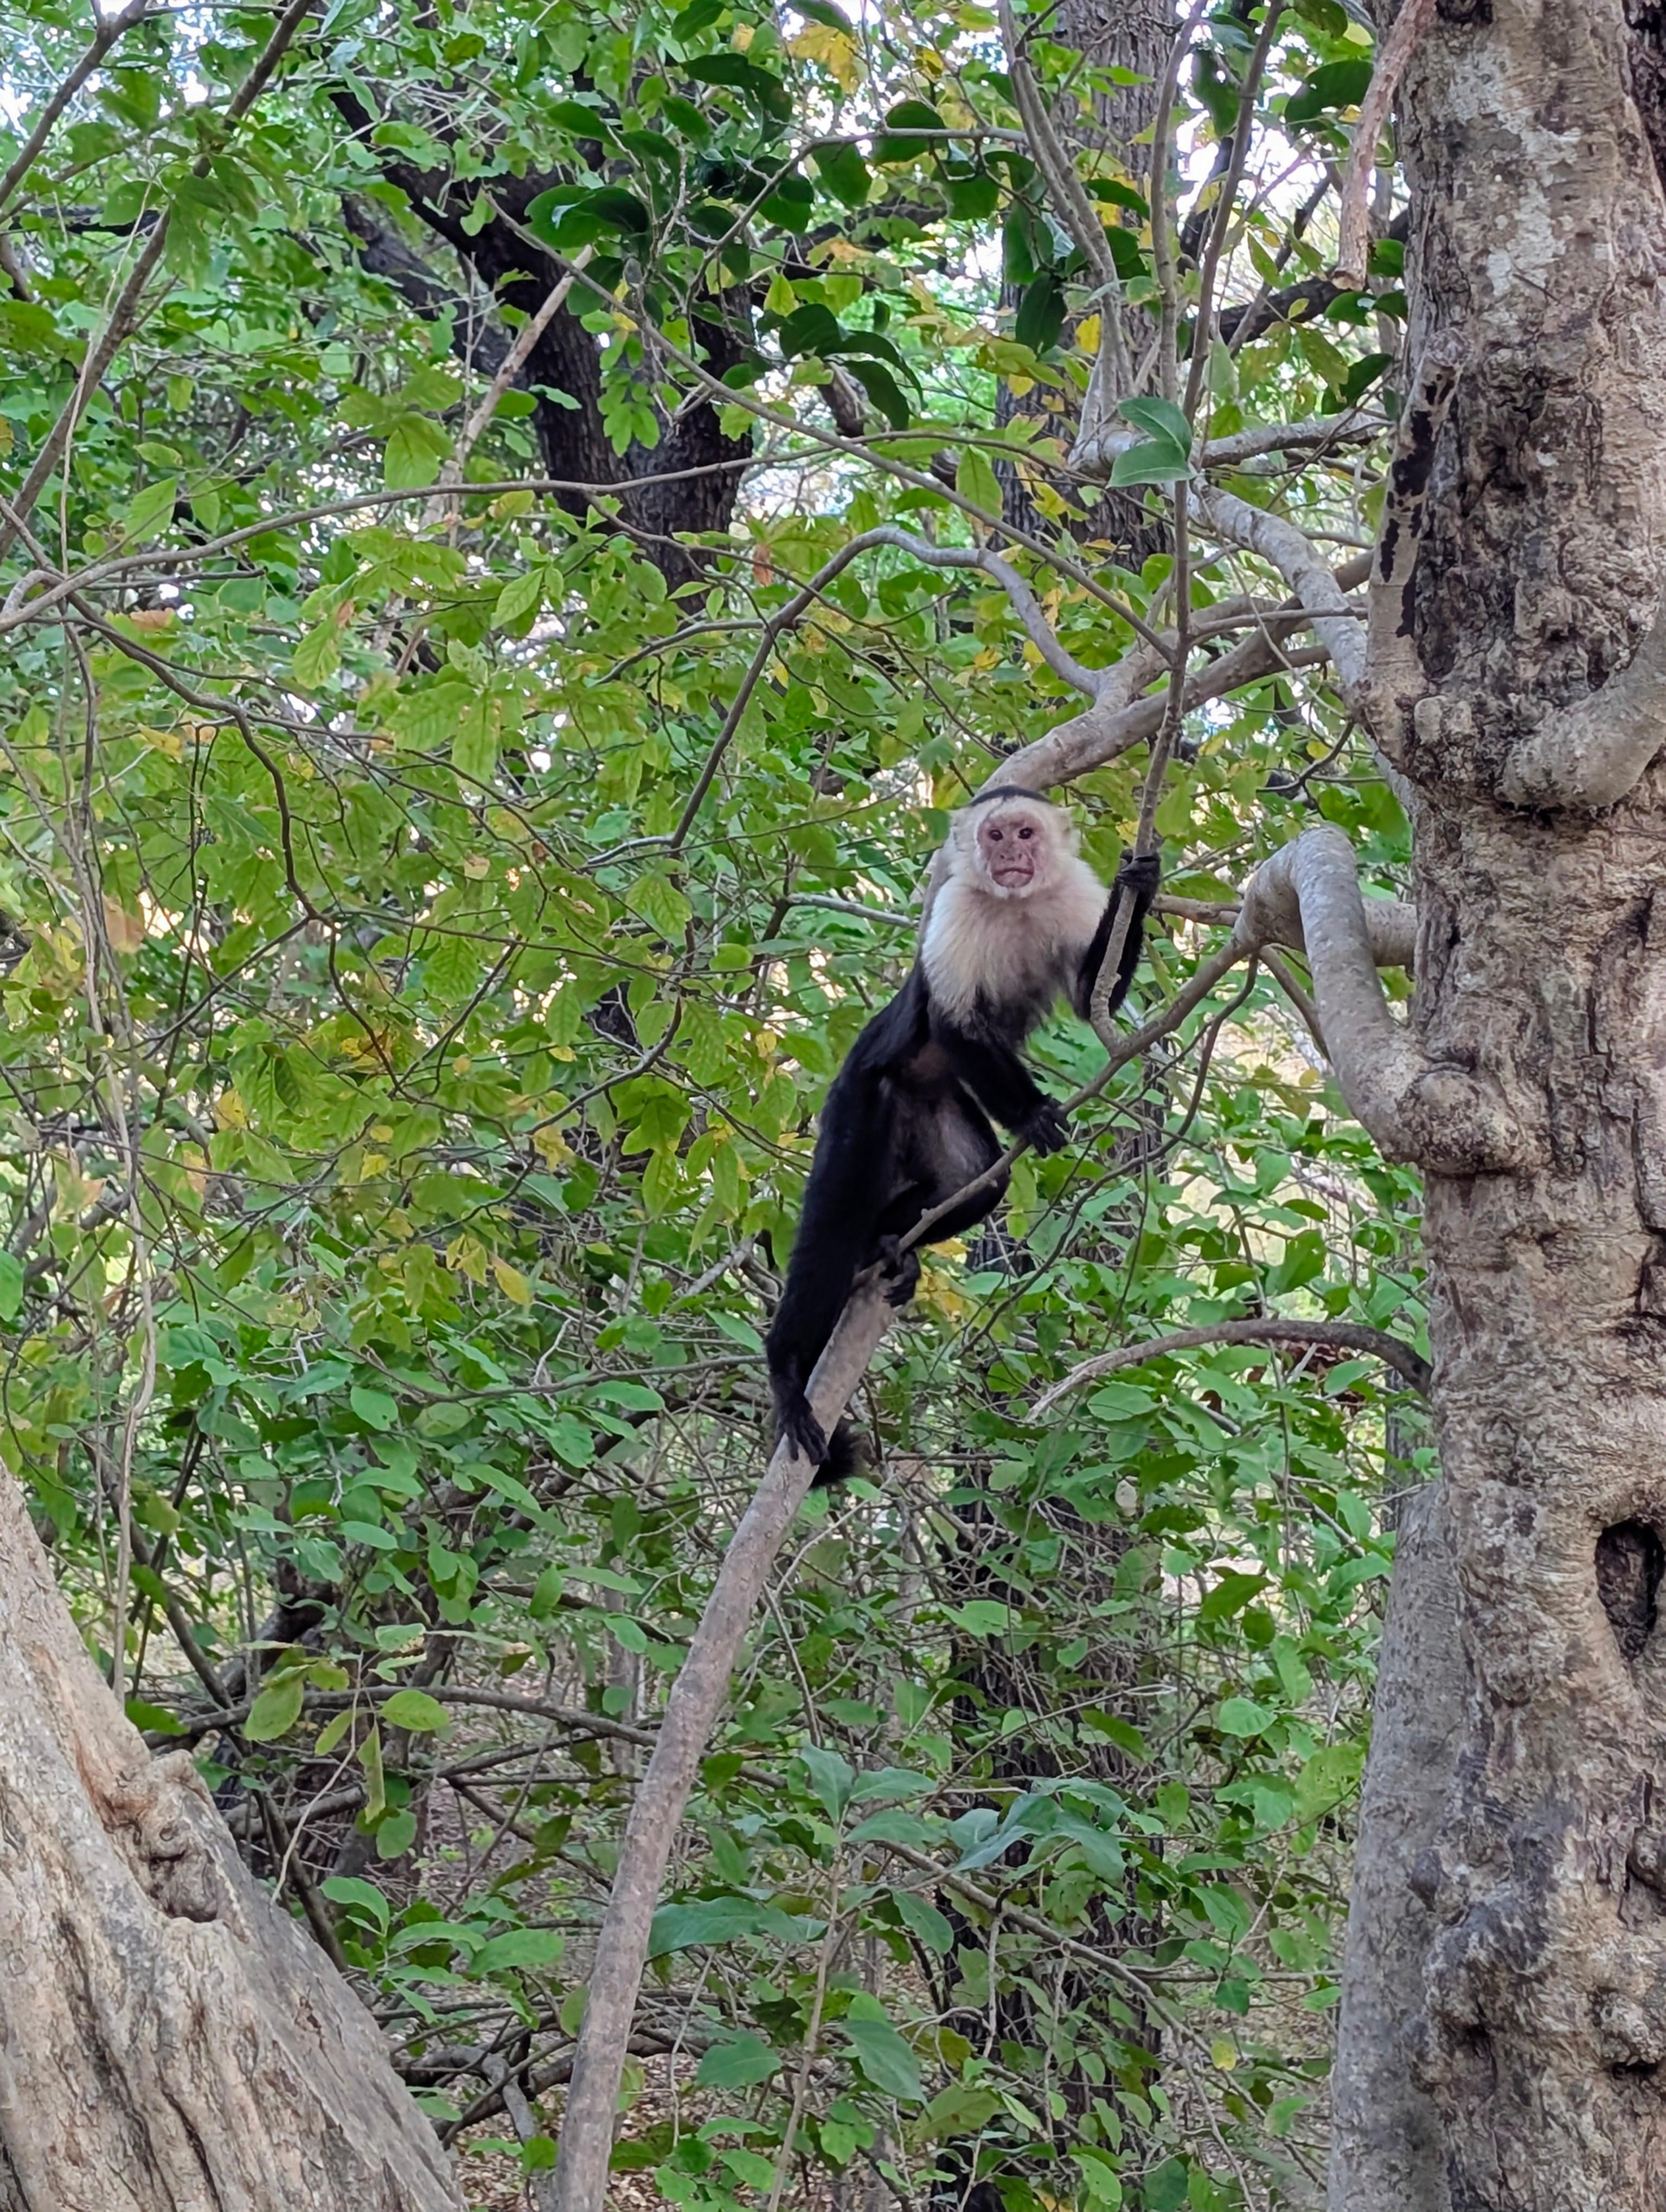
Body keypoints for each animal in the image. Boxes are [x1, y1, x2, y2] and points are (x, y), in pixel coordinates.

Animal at [765, 788, 1160, 1479]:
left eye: (1025, 833)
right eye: (994, 835)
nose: (1009, 856)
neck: (1015, 903)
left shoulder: (1070, 894)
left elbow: (1094, 999)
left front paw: (1140, 883)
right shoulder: (956, 906)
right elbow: (957, 1022)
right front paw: (1032, 1114)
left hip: (939, 1107)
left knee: (977, 1183)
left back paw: (887, 1241)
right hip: (860, 1100)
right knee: (833, 1225)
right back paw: (787, 1367)